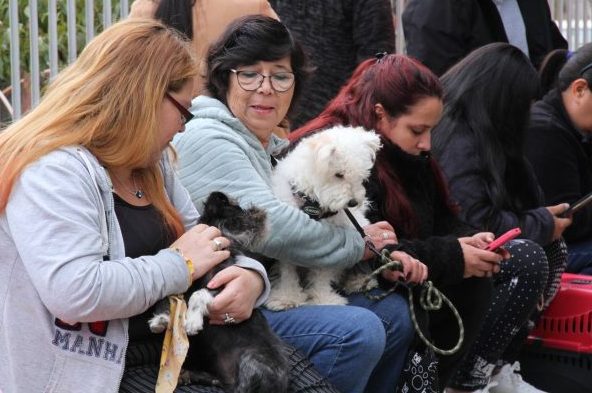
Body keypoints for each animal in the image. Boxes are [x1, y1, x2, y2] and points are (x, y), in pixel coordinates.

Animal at [148, 191, 286, 390]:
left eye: (236, 207)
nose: (217, 194)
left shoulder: (224, 284)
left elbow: (199, 294)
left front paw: (192, 322)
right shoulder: (182, 277)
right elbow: (166, 296)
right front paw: (160, 319)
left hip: (252, 361)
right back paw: (187, 375)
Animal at [266, 125, 382, 310]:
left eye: (361, 176)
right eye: (339, 174)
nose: (353, 202)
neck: (312, 203)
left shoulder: (331, 247)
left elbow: (322, 274)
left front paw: (323, 299)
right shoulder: (287, 244)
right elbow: (287, 272)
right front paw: (287, 297)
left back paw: (359, 282)